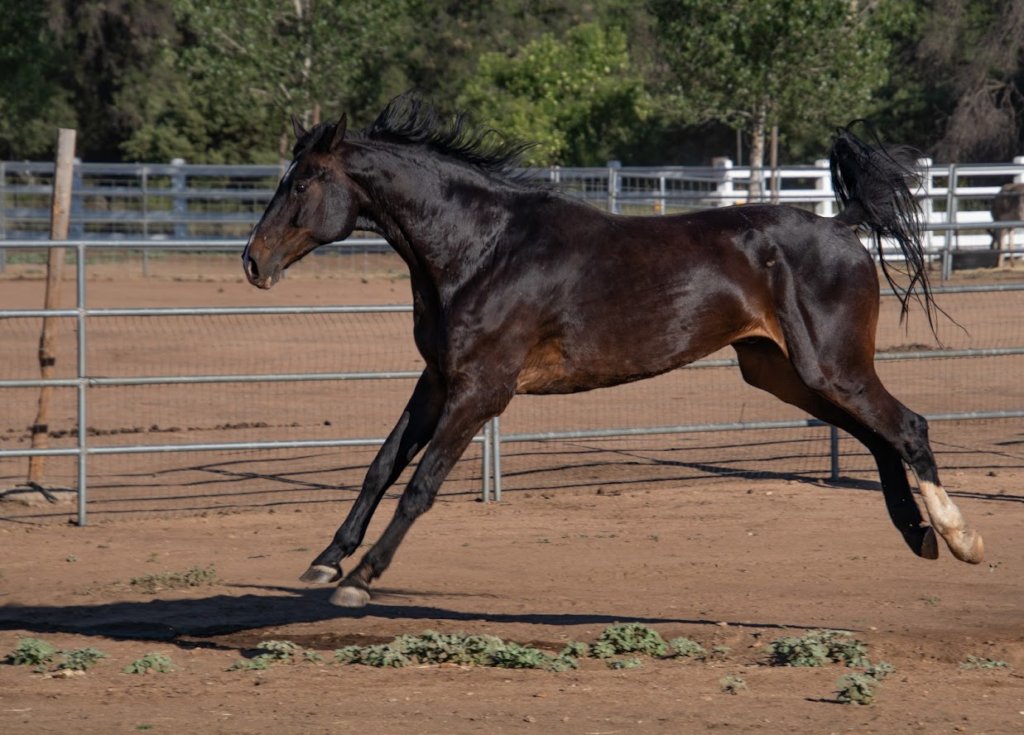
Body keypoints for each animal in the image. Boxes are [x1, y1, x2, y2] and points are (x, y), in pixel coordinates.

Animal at [242, 95, 984, 608]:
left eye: (301, 182)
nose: (253, 261)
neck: (483, 249)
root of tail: (841, 226)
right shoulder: (438, 379)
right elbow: (380, 467)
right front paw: (325, 559)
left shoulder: (483, 389)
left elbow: (421, 482)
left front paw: (362, 579)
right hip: (787, 375)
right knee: (881, 437)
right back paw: (919, 535)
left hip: (831, 369)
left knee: (907, 427)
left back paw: (961, 539)